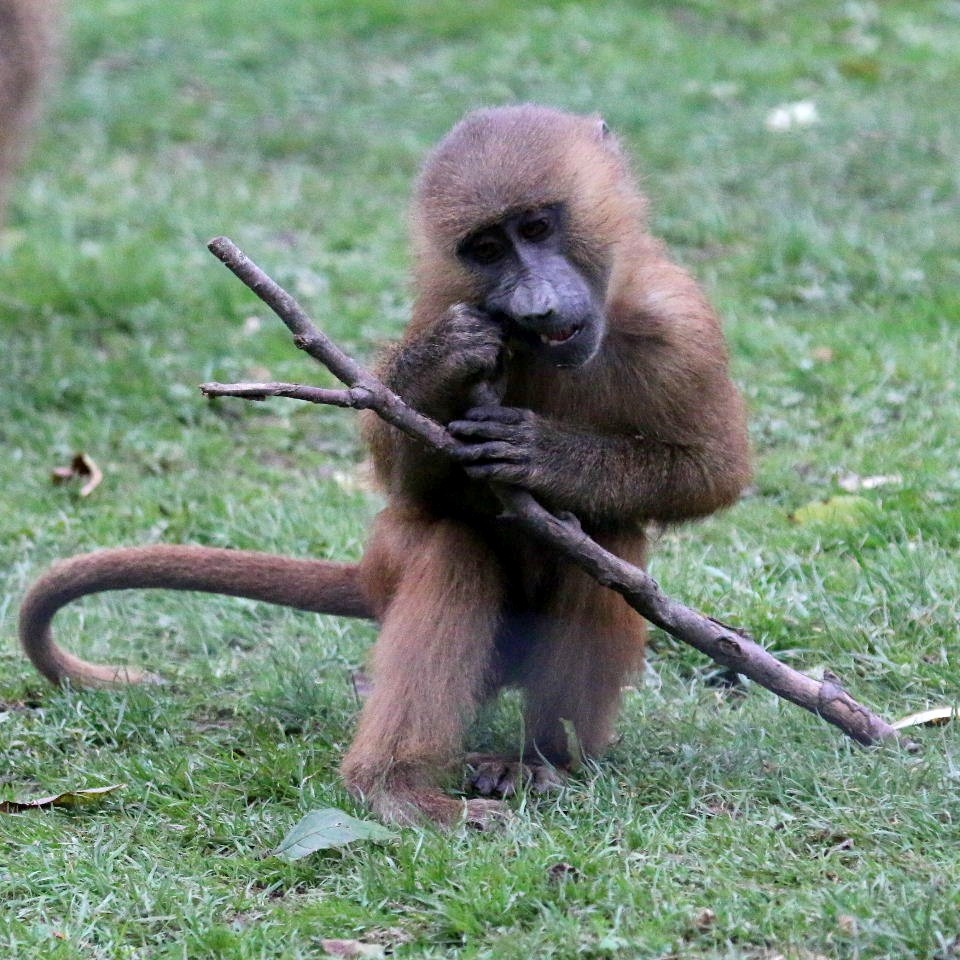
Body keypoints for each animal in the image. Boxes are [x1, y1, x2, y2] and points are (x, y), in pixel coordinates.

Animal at [19, 105, 751, 827]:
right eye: (487, 250)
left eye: (538, 227)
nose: (536, 305)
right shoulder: (441, 306)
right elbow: (412, 482)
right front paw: (440, 362)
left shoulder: (678, 323)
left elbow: (713, 474)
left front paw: (548, 456)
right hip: (393, 568)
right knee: (452, 546)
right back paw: (398, 788)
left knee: (606, 543)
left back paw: (541, 760)